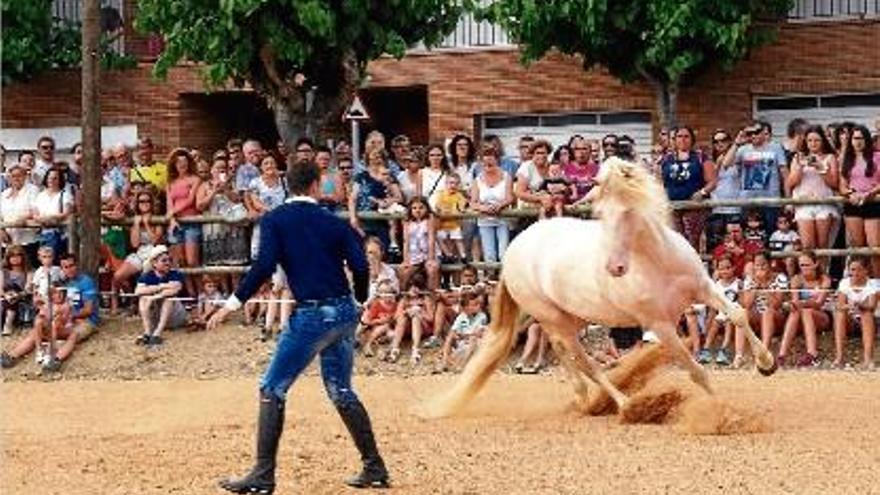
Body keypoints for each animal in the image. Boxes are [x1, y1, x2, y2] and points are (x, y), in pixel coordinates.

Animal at [430, 157, 772, 416]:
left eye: (627, 211)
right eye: (600, 214)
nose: (615, 268)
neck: (657, 262)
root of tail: (513, 250)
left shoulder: (704, 287)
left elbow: (738, 314)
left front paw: (766, 364)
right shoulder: (659, 324)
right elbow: (695, 370)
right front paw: (723, 411)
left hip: (573, 317)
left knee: (565, 354)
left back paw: (584, 398)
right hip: (553, 318)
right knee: (584, 360)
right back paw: (627, 405)